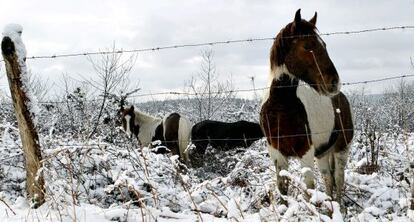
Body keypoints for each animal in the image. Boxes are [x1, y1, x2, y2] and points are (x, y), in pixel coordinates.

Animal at [258, 9, 352, 202]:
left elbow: (309, 190)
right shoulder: (276, 153)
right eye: (307, 46)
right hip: (323, 153)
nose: (334, 82)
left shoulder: (305, 152)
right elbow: (283, 189)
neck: (280, 107)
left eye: (324, 44)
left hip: (341, 149)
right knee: (328, 178)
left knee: (338, 179)